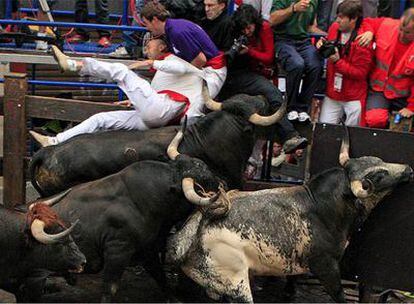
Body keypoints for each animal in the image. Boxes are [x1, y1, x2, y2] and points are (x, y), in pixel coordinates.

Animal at [167, 125, 412, 302]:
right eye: (379, 175)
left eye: (379, 161)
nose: (408, 169)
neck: (324, 206)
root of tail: (198, 221)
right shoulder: (326, 266)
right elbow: (339, 296)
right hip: (237, 282)